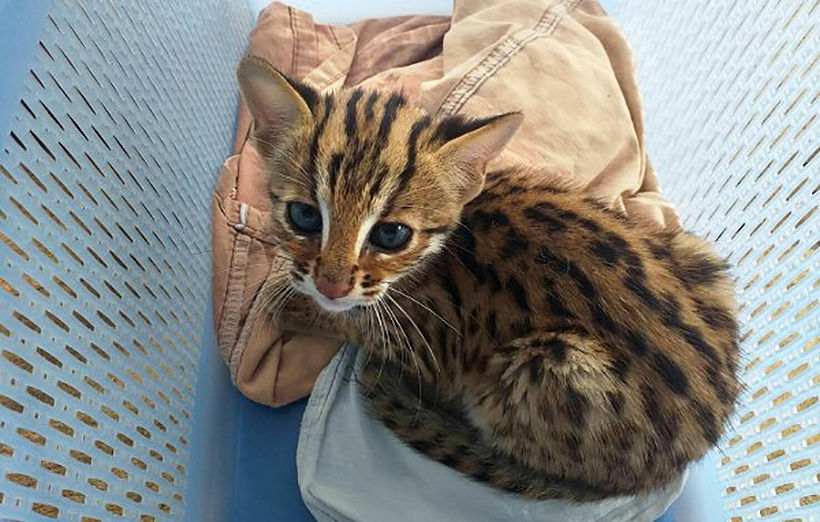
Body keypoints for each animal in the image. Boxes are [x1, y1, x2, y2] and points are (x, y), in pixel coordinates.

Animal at [239, 54, 744, 498]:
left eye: (391, 234)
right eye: (305, 216)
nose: (331, 283)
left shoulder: (429, 350)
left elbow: (355, 323)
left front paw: (296, 306)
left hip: (546, 366)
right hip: (698, 256)